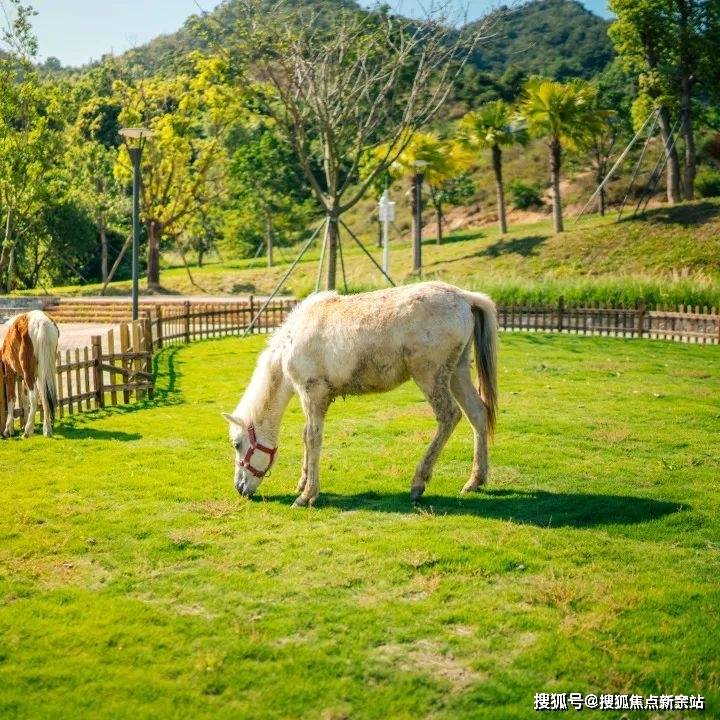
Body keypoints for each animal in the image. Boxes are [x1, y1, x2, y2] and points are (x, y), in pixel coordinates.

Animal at [222, 282, 498, 506]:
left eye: (237, 444)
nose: (239, 488)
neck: (290, 344)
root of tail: (465, 297)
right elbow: (306, 436)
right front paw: (303, 482)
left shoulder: (313, 394)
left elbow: (312, 438)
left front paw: (307, 495)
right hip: (457, 372)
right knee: (477, 413)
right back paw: (475, 480)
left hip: (430, 375)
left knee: (449, 416)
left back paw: (419, 481)